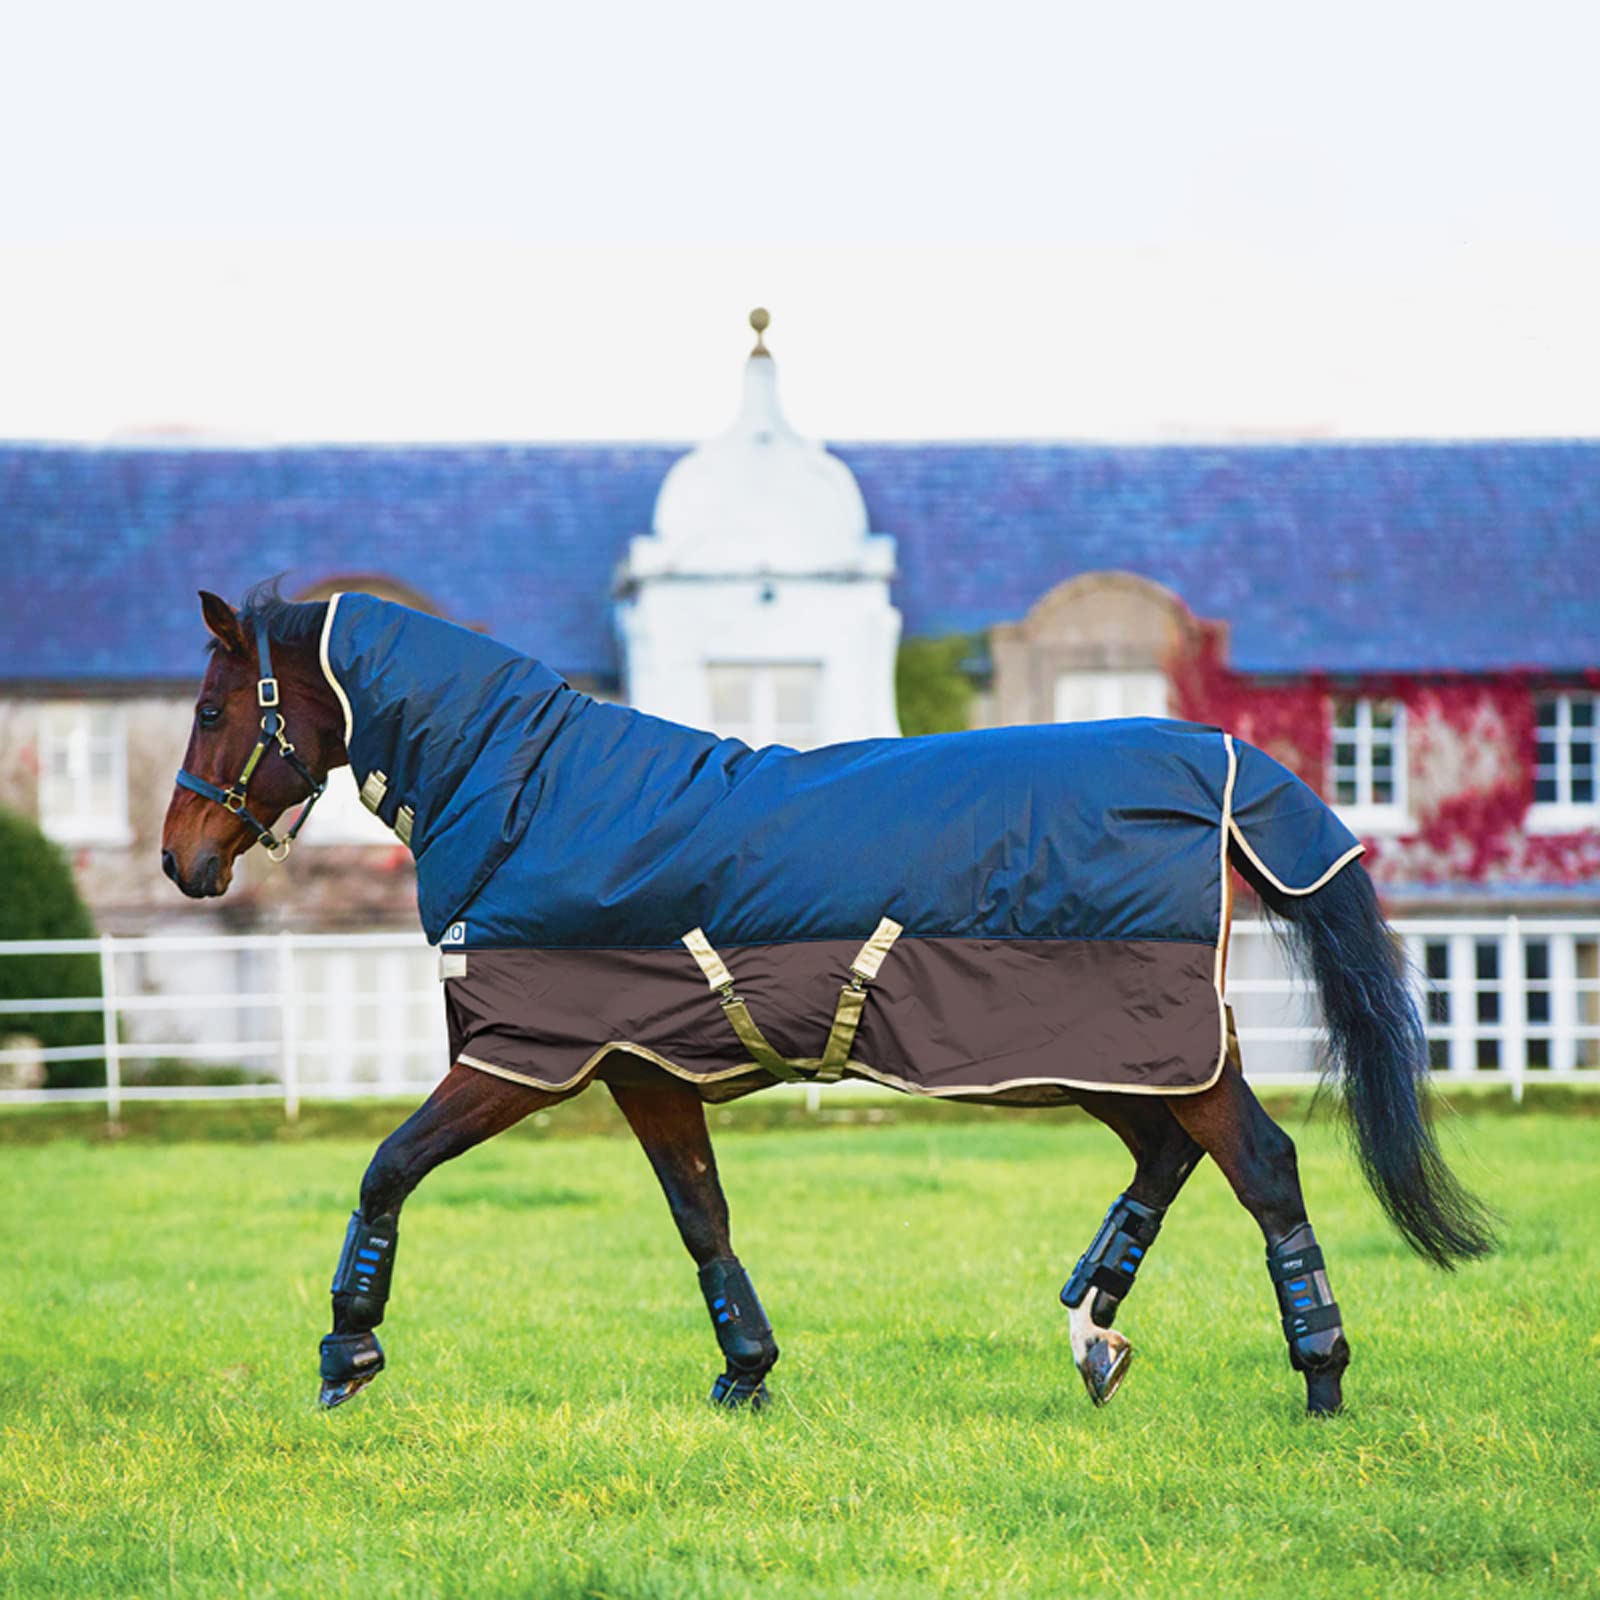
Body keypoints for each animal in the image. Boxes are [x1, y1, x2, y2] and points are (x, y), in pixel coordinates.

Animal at [161, 587, 1495, 1418]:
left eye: (217, 708)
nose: (184, 861)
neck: (539, 795)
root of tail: (1215, 760)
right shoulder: (644, 1067)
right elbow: (701, 1217)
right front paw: (745, 1371)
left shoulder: (523, 1055)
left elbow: (388, 1168)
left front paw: (347, 1350)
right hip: (1099, 1053)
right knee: (1168, 1155)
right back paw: (1094, 1330)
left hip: (1144, 1044)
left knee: (1261, 1166)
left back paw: (1318, 1374)